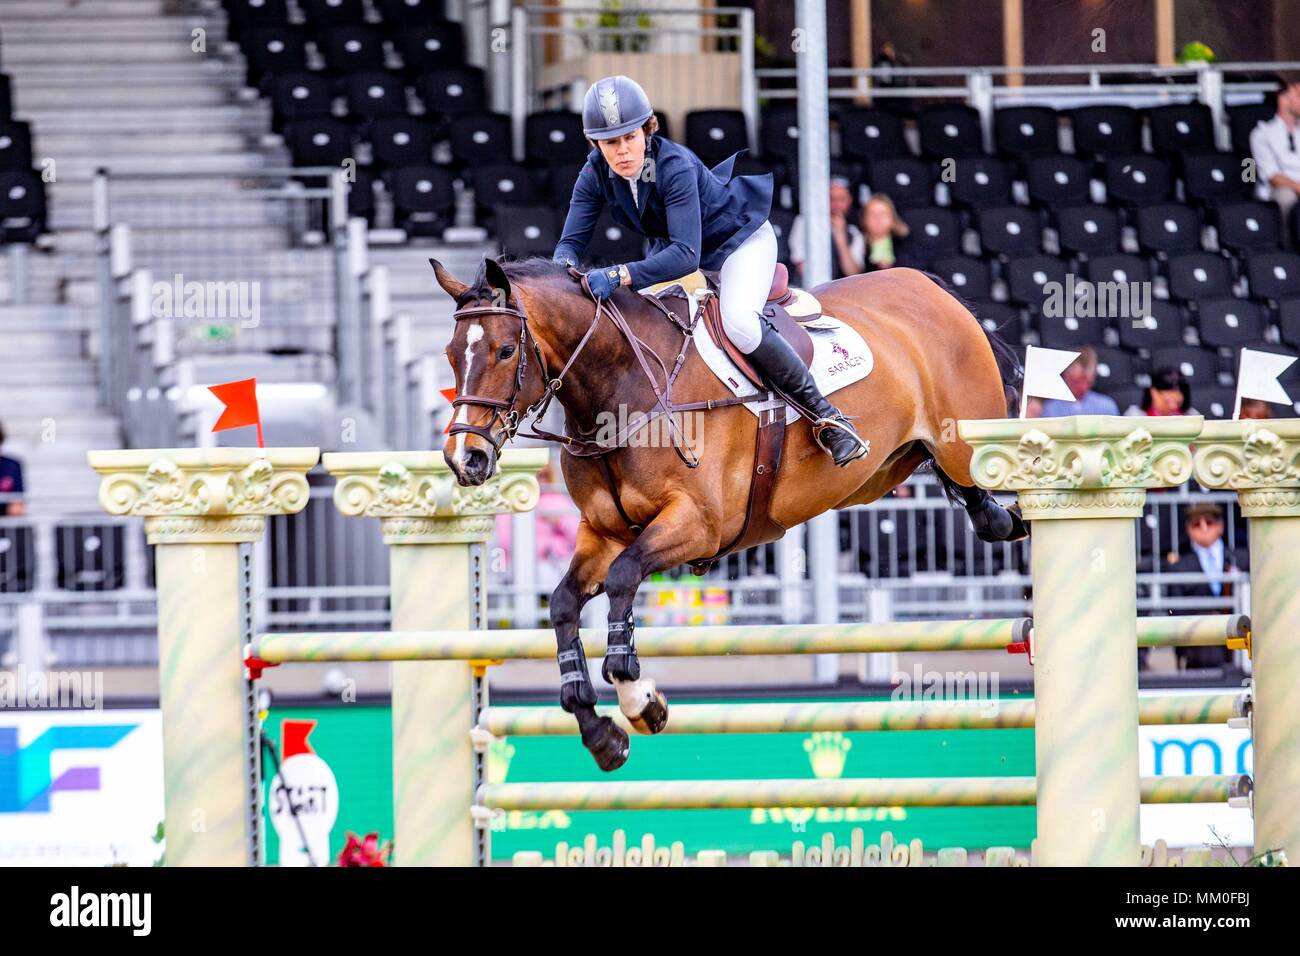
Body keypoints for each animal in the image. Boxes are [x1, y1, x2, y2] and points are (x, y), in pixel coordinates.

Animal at [434, 257, 1024, 775]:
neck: (621, 387)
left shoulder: (698, 525)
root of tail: (928, 286)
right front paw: (601, 733)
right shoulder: (602, 535)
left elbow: (624, 579)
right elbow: (561, 605)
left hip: (968, 441)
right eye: (450, 354)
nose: (466, 459)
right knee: (968, 497)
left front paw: (638, 697)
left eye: (506, 350)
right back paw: (995, 519)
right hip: (891, 468)